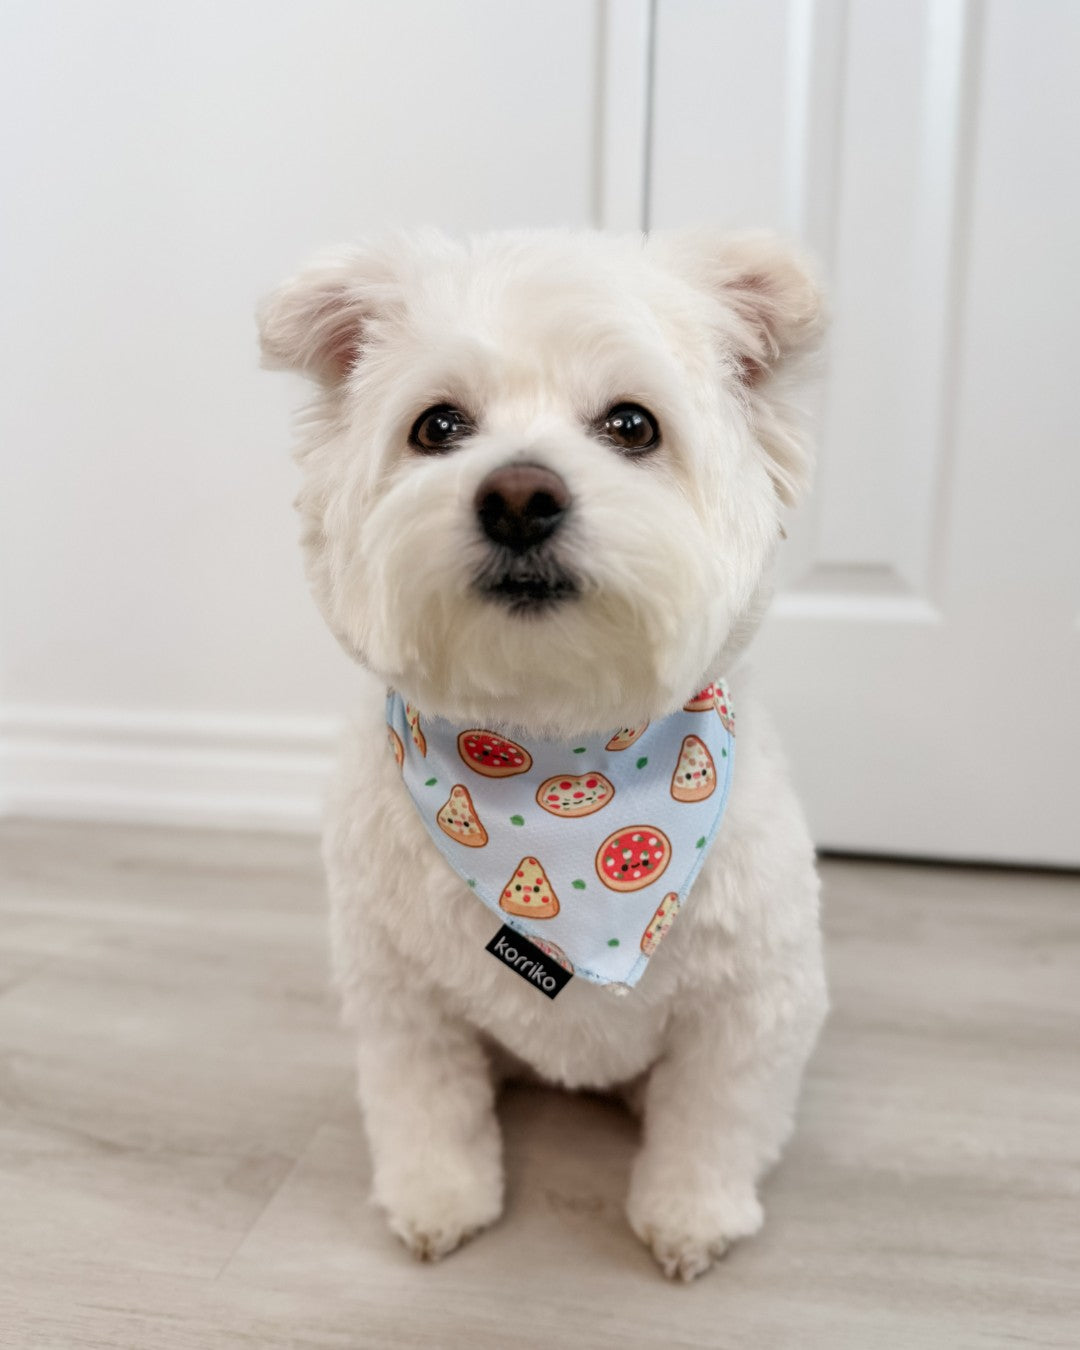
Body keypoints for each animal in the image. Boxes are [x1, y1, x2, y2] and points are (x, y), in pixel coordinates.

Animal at [259, 226, 826, 1279]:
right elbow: (426, 1106)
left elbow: (713, 1123)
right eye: (437, 426)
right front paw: (439, 1198)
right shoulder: (404, 1000)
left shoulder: (750, 1007)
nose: (519, 496)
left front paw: (691, 1214)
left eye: (633, 425)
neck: (554, 750)